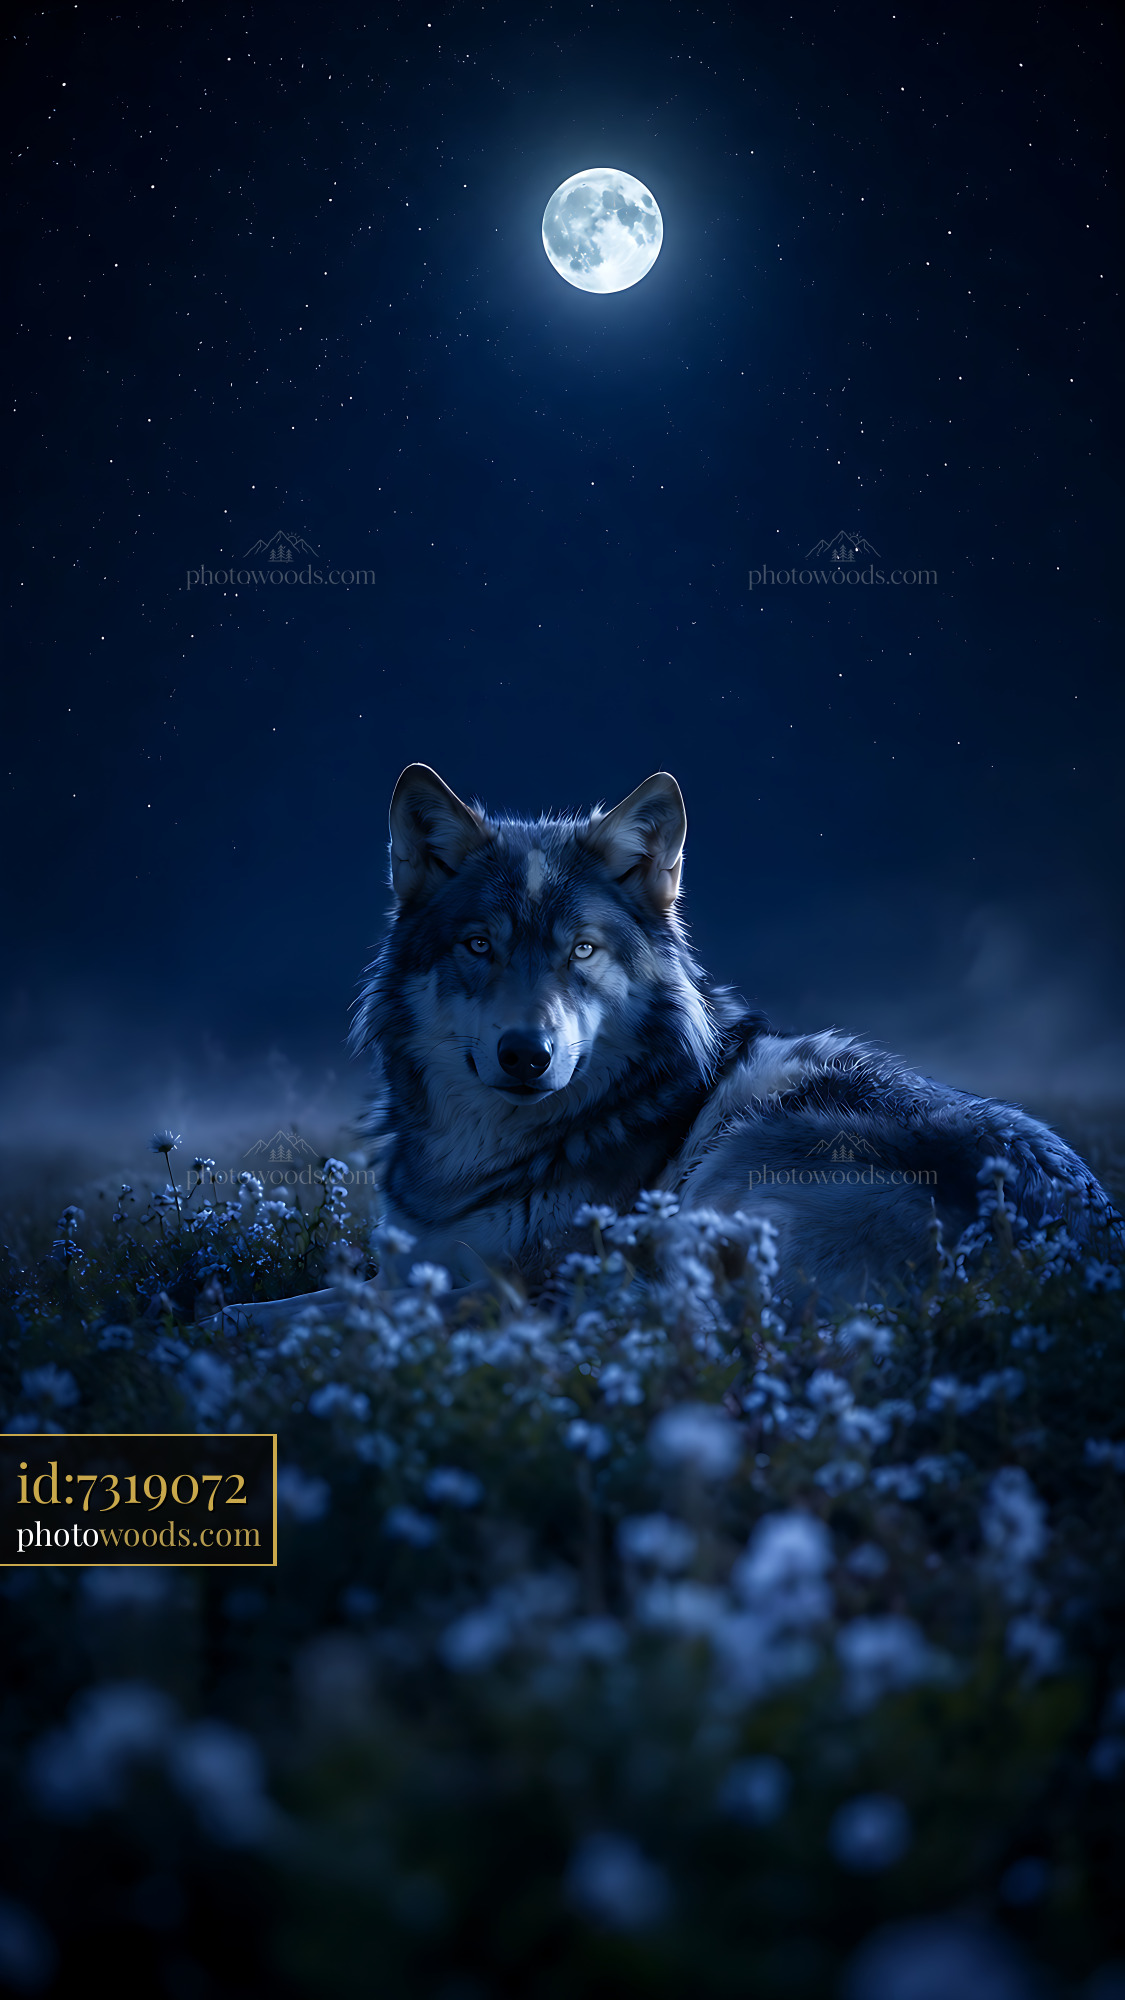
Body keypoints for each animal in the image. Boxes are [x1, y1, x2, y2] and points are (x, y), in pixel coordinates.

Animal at [337, 763, 1119, 1310]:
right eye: (479, 945)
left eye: (582, 951)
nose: (527, 1055)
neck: (472, 1162)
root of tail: (1076, 1261)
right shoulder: (404, 1265)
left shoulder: (528, 1271)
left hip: (736, 1159)